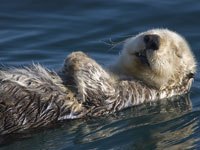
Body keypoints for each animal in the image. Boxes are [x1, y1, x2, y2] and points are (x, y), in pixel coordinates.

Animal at [0, 28, 197, 134]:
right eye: (149, 32)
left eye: (177, 53)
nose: (152, 40)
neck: (122, 73)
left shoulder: (134, 94)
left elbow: (102, 92)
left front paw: (77, 56)